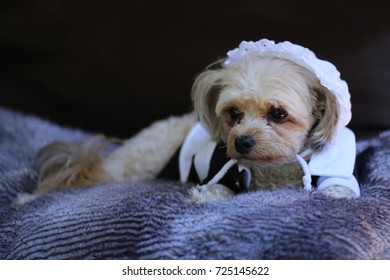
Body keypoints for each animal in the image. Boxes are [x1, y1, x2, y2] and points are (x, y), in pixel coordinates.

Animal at [16, 39, 360, 205]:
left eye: (278, 114)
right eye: (233, 114)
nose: (242, 142)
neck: (274, 170)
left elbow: (339, 183)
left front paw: (337, 194)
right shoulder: (221, 168)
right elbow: (216, 186)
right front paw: (204, 195)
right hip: (132, 166)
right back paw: (28, 197)